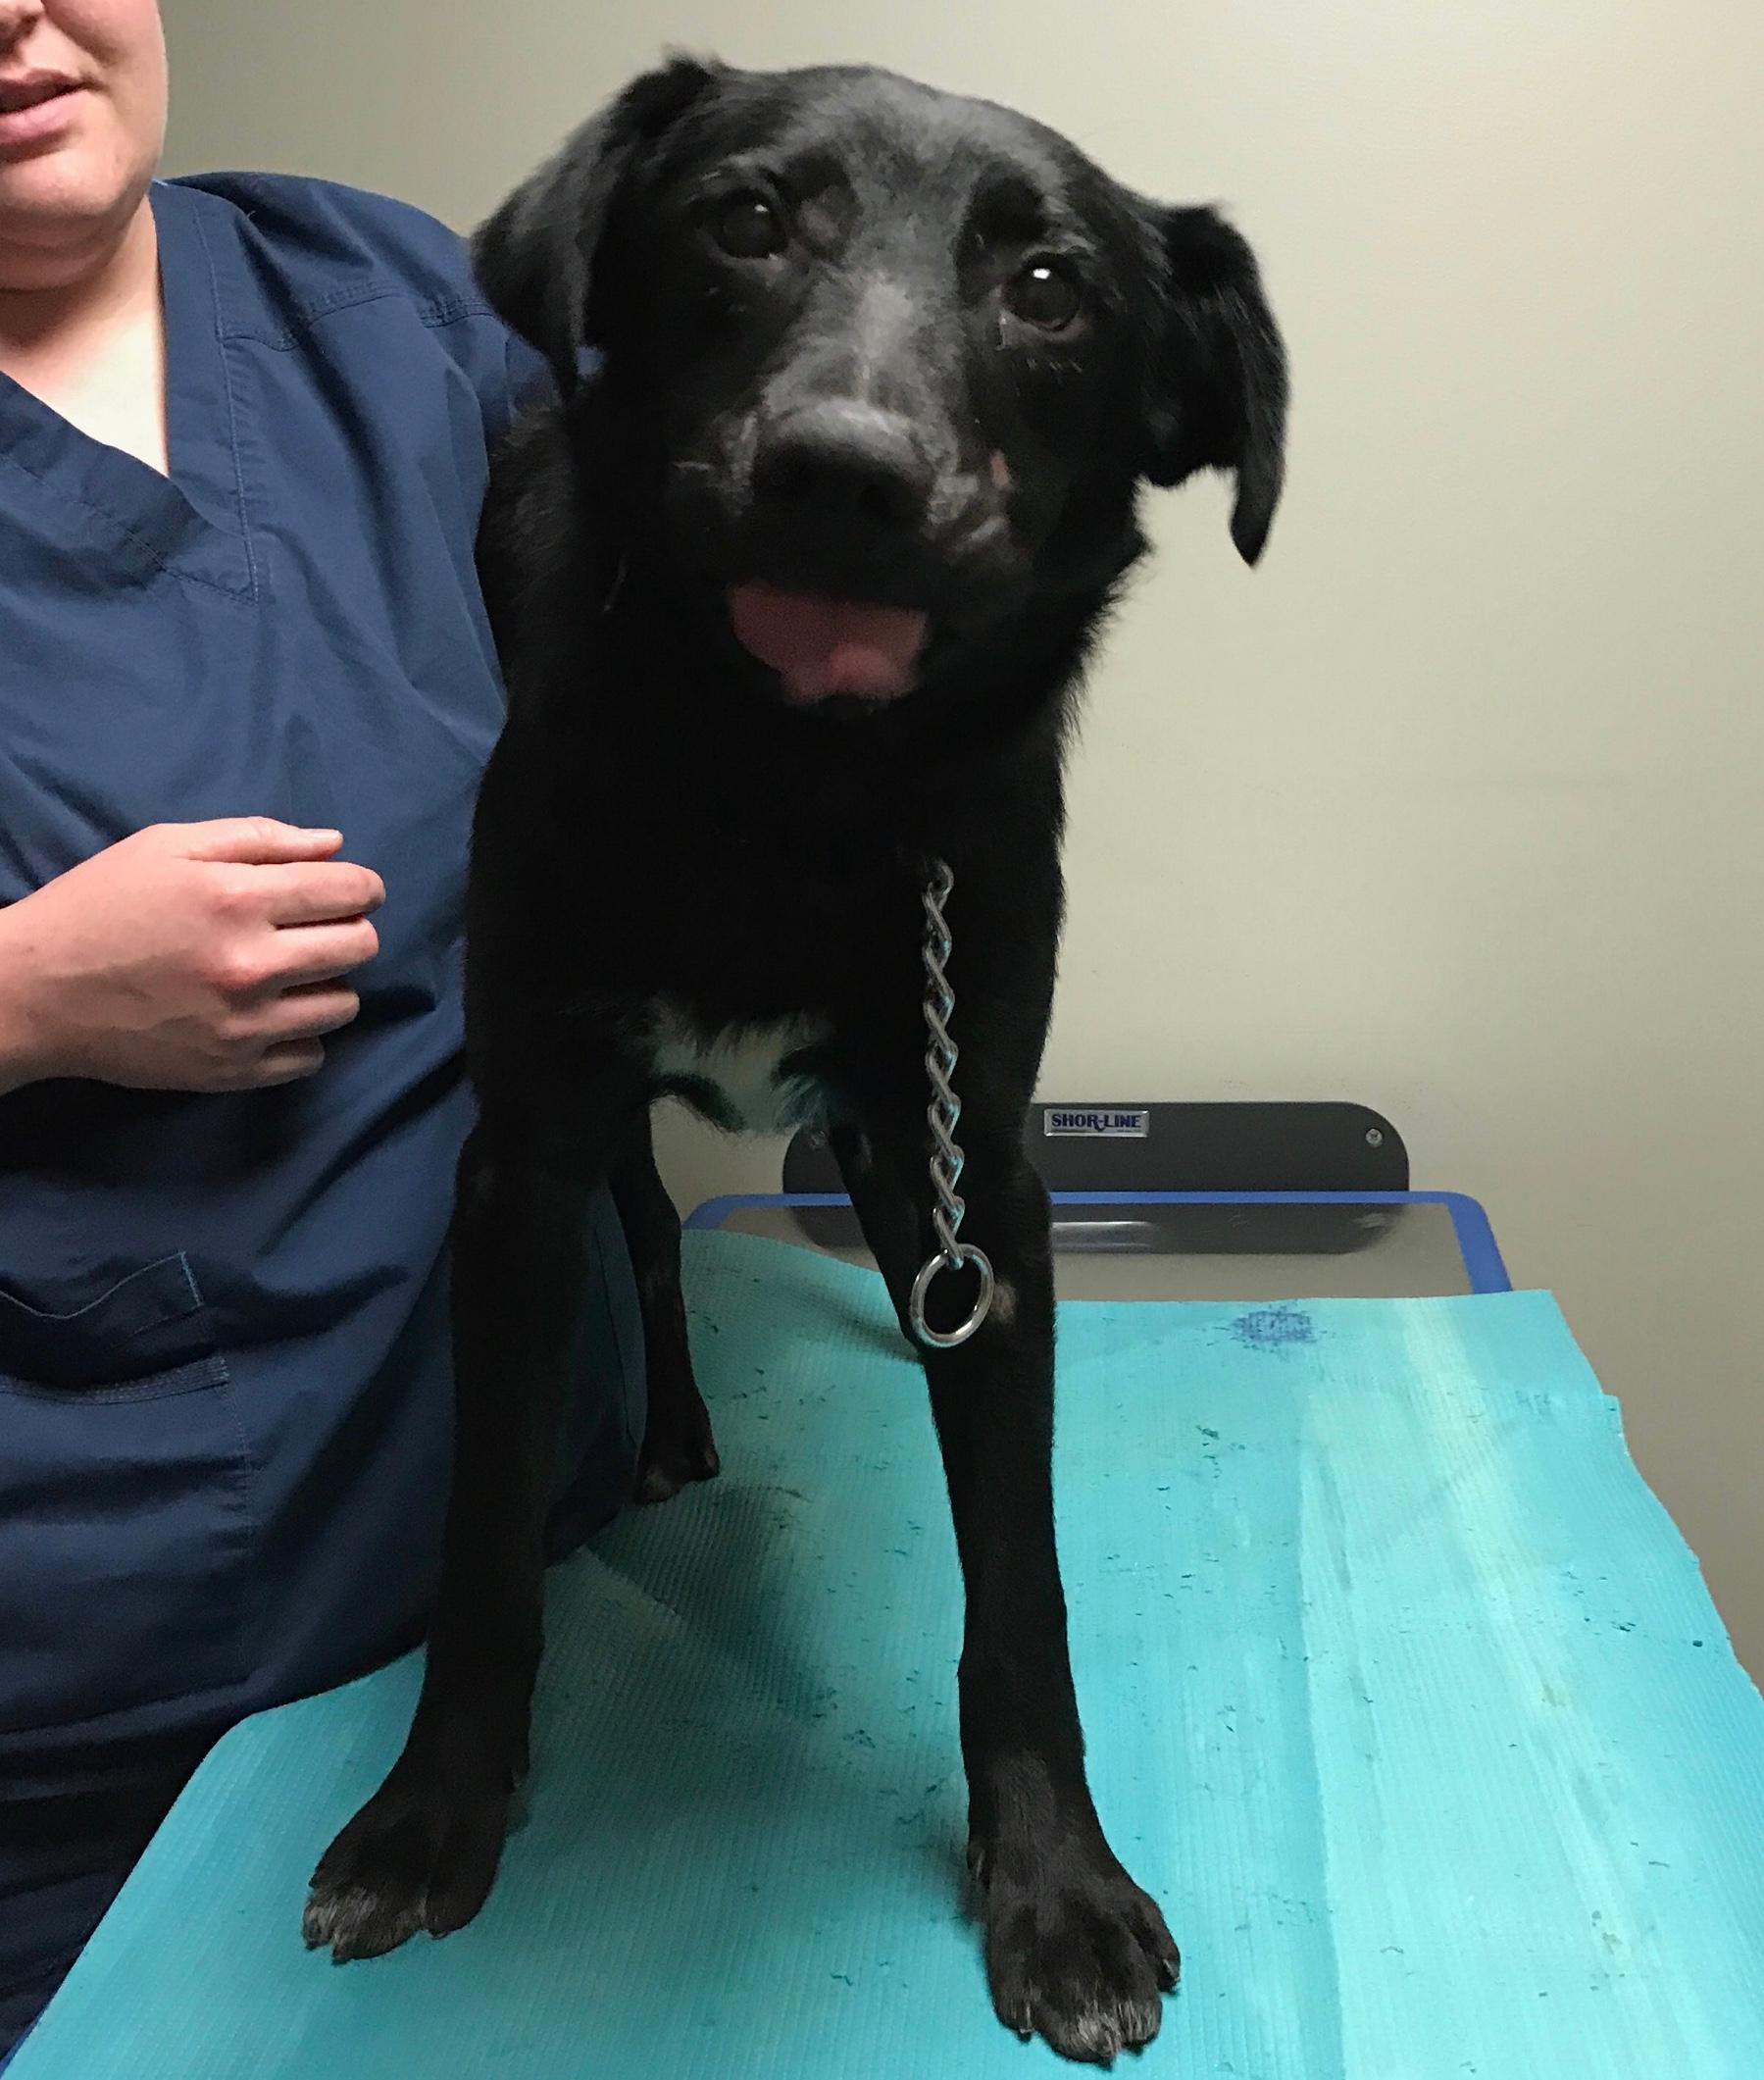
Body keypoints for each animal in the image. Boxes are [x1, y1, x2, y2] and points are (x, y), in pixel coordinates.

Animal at [303, 52, 1281, 2063]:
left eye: (1050, 288)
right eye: (743, 218)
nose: (843, 470)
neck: (788, 794)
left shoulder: (976, 1148)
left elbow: (1018, 1579)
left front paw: (1053, 1884)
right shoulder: (518, 1154)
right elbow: (484, 1526)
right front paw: (436, 1810)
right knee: (657, 1248)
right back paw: (679, 1426)